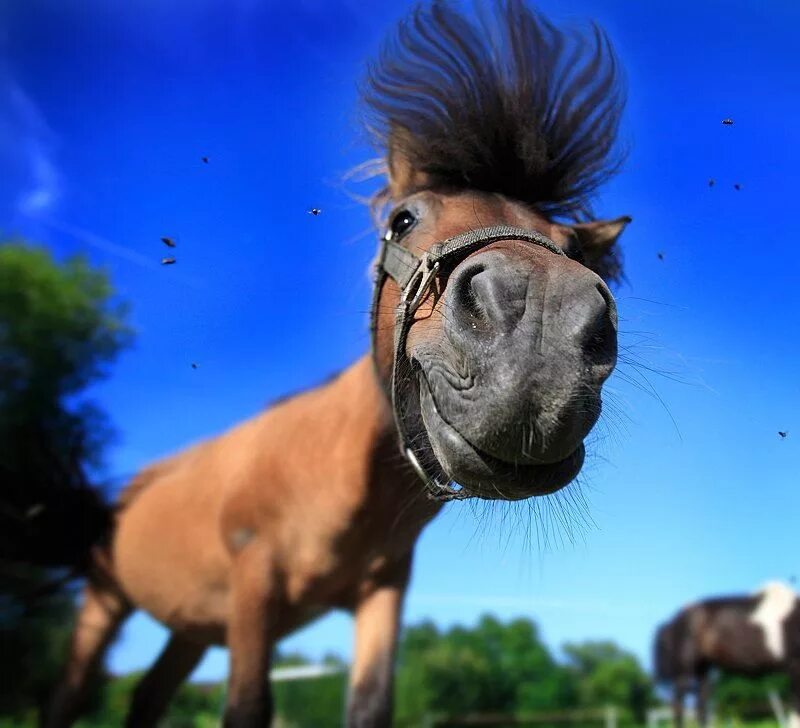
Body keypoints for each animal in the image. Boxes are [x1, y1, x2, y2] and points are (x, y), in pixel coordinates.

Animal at [652, 580, 800, 728]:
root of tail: (674, 620)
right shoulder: (794, 666)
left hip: (702, 670)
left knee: (701, 704)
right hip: (685, 672)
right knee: (679, 705)